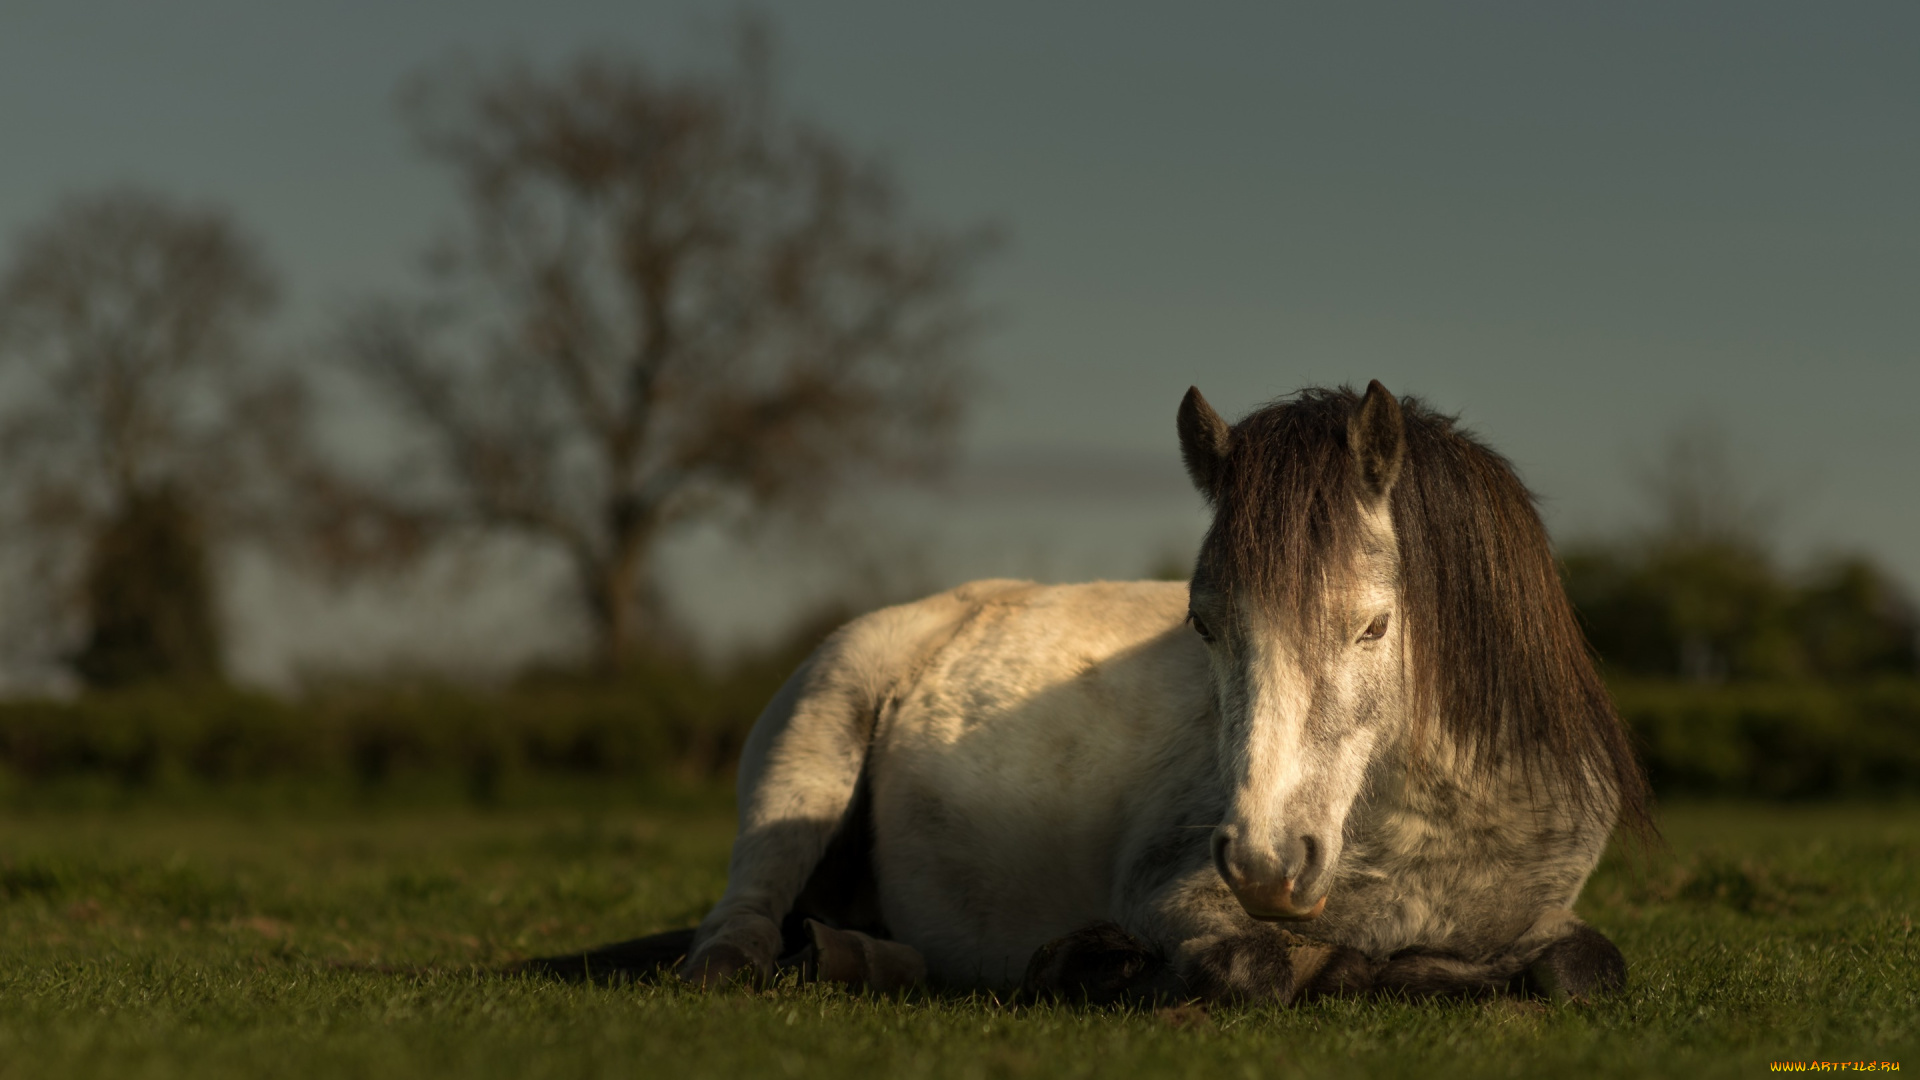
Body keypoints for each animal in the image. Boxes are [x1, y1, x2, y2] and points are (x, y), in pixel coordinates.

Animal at [568, 380, 1651, 999]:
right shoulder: (1172, 888)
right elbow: (1265, 967)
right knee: (737, 936)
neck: (1432, 828)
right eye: (1204, 623)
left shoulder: (1545, 917)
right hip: (804, 764)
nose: (1265, 864)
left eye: (1374, 626)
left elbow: (1586, 968)